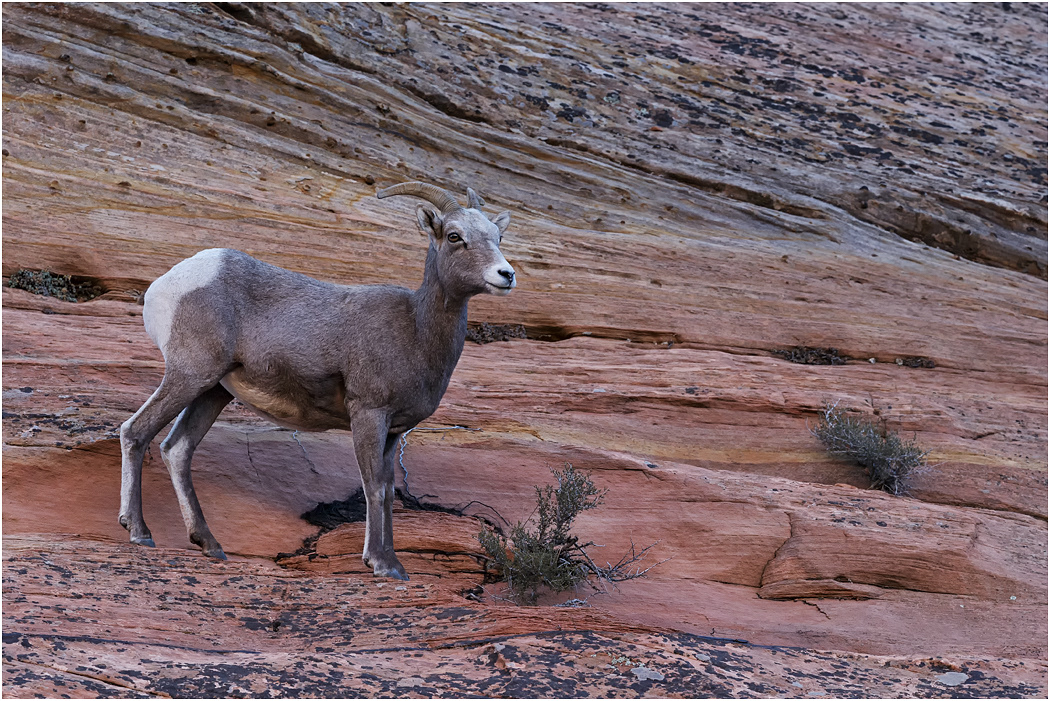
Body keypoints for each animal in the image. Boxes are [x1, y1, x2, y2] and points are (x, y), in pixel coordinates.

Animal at [118, 181, 516, 580]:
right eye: (454, 236)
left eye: (497, 237)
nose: (506, 274)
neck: (415, 330)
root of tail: (167, 283)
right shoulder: (368, 415)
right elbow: (373, 486)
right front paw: (381, 564)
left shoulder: (393, 431)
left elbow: (388, 492)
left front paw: (394, 565)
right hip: (190, 375)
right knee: (136, 432)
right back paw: (139, 532)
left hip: (213, 390)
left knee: (177, 449)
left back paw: (209, 544)